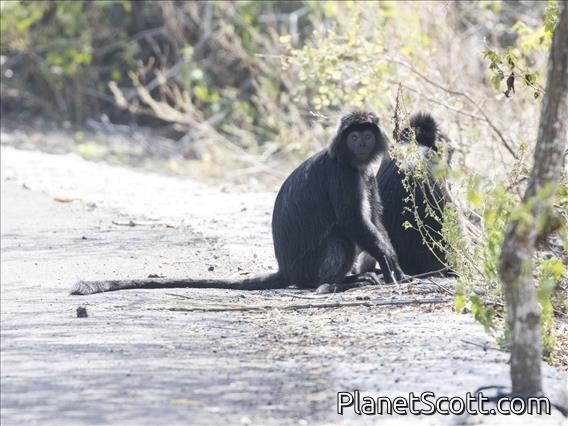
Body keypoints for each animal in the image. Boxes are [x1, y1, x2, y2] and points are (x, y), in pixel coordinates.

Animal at [71, 111, 404, 296]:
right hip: (308, 267)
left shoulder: (366, 174)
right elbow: (353, 222)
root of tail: (286, 271)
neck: (350, 160)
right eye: (354, 137)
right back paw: (342, 282)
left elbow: (374, 220)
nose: (361, 144)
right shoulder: (343, 174)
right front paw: (389, 262)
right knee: (340, 235)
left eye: (365, 136)